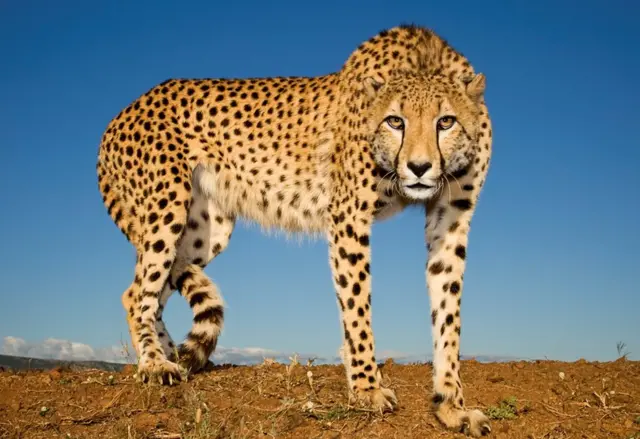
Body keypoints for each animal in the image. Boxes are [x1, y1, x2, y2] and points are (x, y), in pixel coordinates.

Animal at [96, 24, 493, 437]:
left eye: (445, 121)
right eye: (395, 121)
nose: (418, 167)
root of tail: (124, 112)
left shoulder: (451, 221)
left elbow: (448, 314)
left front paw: (451, 405)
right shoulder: (348, 217)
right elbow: (357, 308)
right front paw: (366, 388)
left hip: (206, 229)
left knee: (146, 288)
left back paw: (172, 355)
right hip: (167, 205)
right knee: (140, 291)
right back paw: (154, 363)